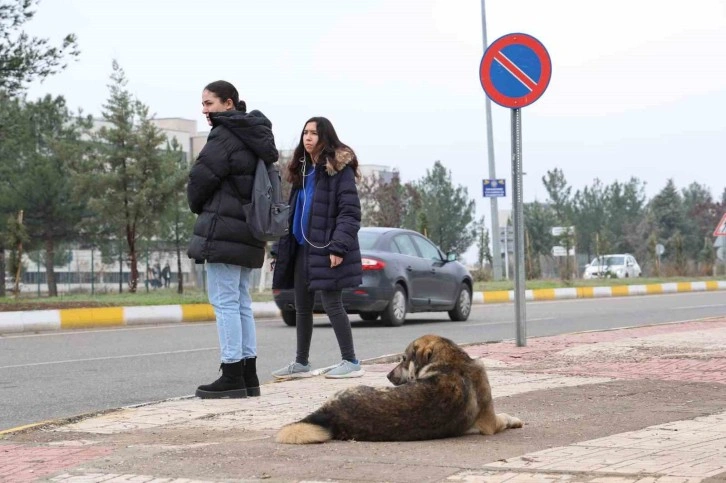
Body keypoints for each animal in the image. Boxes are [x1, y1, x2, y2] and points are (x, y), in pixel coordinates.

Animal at [274, 334, 524, 444]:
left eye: (404, 359)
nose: (387, 375)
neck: (448, 360)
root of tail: (330, 413)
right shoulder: (489, 423)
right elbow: (503, 416)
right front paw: (514, 419)